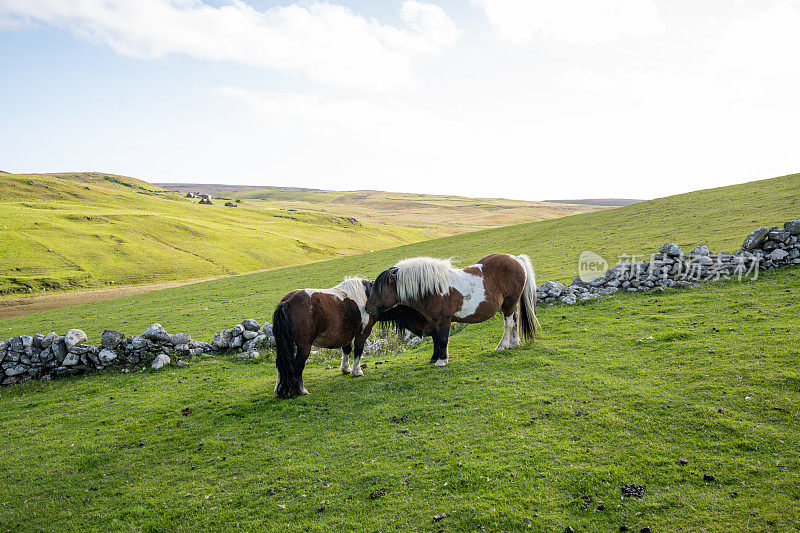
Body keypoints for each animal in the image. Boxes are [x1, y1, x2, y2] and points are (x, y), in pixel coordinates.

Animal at [272, 276, 428, 396]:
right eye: (416, 309)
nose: (427, 329)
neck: (368, 298)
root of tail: (287, 302)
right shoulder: (362, 334)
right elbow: (358, 351)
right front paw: (356, 371)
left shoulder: (346, 334)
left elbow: (346, 350)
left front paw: (346, 369)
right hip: (304, 346)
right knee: (297, 364)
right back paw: (301, 390)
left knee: (281, 363)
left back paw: (279, 389)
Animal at [366, 254, 540, 366]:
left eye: (379, 290)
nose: (368, 308)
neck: (432, 289)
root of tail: (516, 259)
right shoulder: (433, 321)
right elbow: (436, 339)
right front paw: (435, 358)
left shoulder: (444, 319)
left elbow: (443, 339)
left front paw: (441, 361)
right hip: (511, 304)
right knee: (515, 320)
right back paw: (514, 343)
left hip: (510, 302)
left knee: (508, 324)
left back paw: (502, 345)